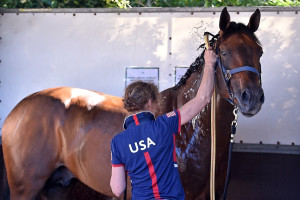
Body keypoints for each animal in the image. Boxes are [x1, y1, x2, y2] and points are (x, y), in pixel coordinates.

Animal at [2, 7, 264, 200]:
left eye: (259, 52)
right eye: (223, 52)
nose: (251, 97)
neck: (190, 132)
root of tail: (17, 110)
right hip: (25, 189)